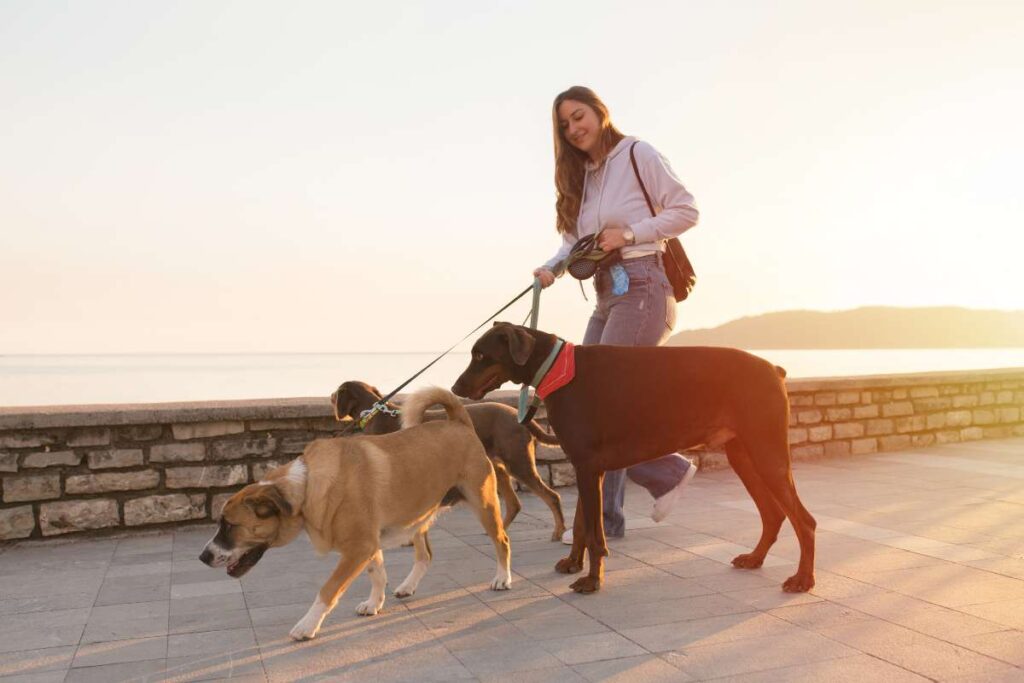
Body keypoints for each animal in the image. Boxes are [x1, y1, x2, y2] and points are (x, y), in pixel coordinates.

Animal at [197, 389, 509, 643]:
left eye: (230, 525)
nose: (202, 557)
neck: (308, 485)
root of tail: (459, 421)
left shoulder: (358, 548)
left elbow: (328, 589)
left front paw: (307, 625)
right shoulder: (368, 545)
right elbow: (377, 573)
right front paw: (374, 603)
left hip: (483, 503)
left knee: (502, 541)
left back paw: (502, 578)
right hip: (418, 515)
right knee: (425, 555)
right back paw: (408, 586)